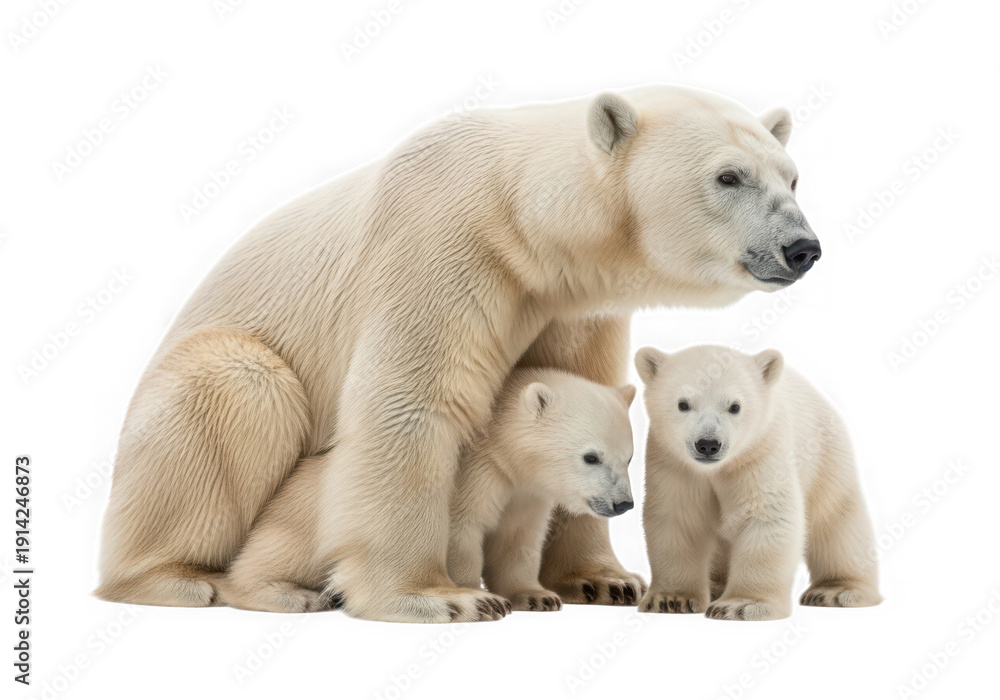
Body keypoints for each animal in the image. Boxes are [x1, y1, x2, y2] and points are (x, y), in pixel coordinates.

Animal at [218, 368, 637, 615]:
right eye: (591, 457)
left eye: (630, 457)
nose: (623, 504)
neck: (499, 448)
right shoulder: (471, 474)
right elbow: (459, 533)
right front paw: (477, 596)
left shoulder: (525, 492)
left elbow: (517, 541)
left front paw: (537, 596)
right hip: (304, 515)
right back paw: (297, 595)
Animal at [634, 345, 881, 621]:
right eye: (683, 404)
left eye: (734, 406)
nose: (708, 444)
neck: (717, 469)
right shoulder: (674, 464)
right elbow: (678, 519)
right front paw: (671, 599)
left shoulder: (761, 453)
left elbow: (765, 517)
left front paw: (741, 605)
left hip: (825, 454)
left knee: (836, 520)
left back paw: (835, 591)